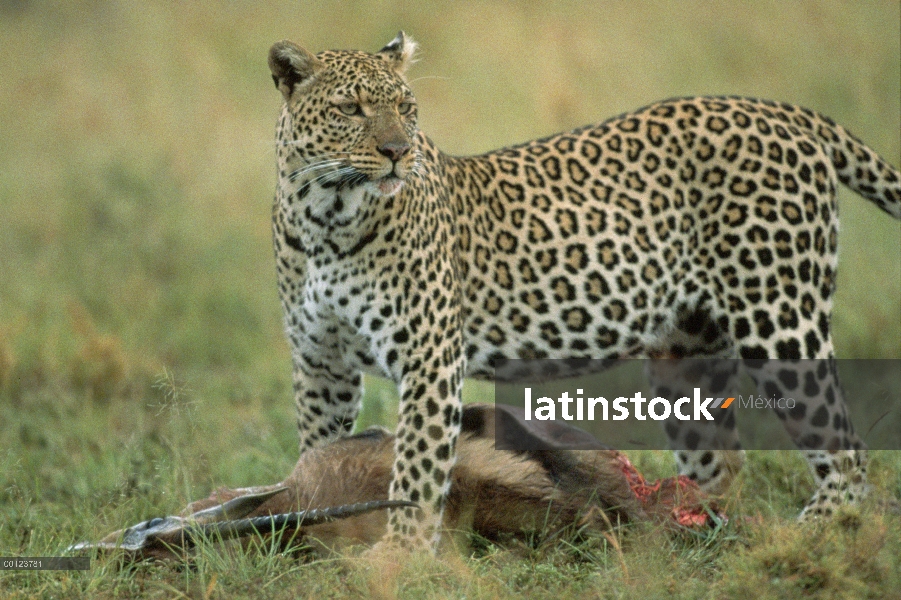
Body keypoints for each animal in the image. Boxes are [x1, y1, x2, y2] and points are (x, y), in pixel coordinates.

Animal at [266, 30, 900, 552]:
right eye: (351, 108)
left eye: (406, 108)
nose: (399, 151)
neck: (325, 219)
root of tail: (781, 111)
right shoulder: (320, 363)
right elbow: (321, 446)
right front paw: (317, 514)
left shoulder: (429, 356)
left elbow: (418, 468)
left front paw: (403, 553)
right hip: (686, 353)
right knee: (722, 464)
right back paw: (695, 529)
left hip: (780, 315)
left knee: (847, 452)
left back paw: (816, 534)